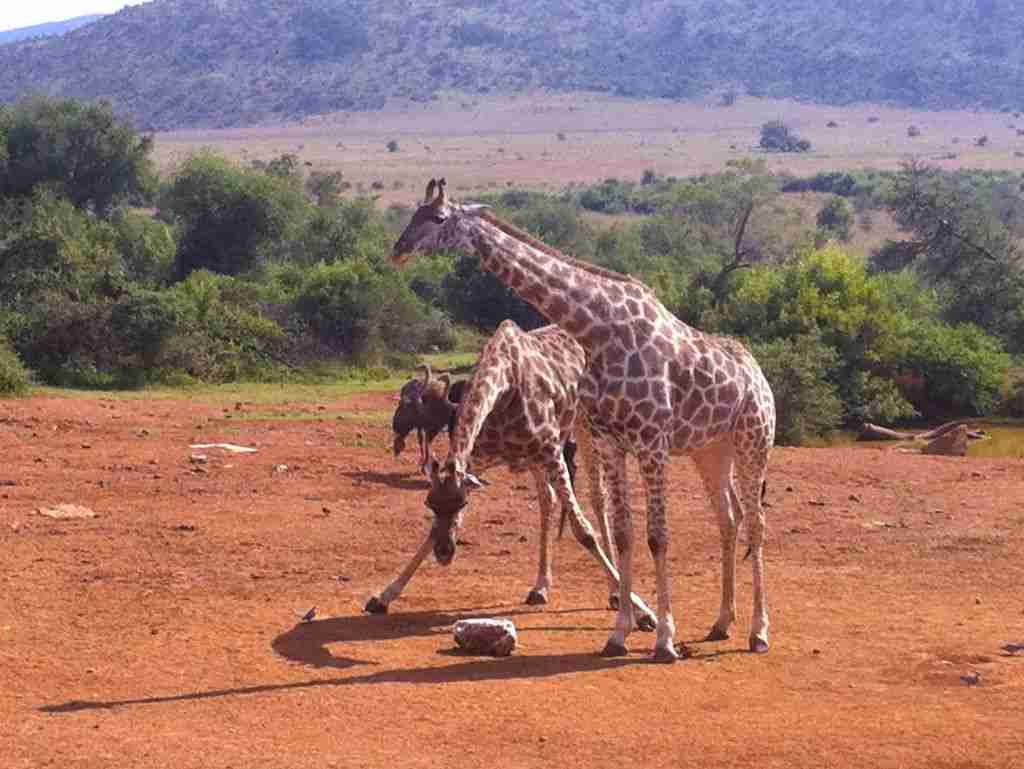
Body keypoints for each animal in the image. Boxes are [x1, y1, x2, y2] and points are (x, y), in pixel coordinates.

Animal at [366, 320, 657, 630]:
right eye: (430, 504)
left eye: (463, 504)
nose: (444, 553)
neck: (504, 388)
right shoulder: (480, 458)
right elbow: (431, 530)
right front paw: (384, 596)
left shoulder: (552, 450)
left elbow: (584, 531)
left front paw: (643, 611)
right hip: (535, 456)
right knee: (548, 499)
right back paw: (541, 586)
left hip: (584, 425)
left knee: (596, 495)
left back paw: (614, 593)